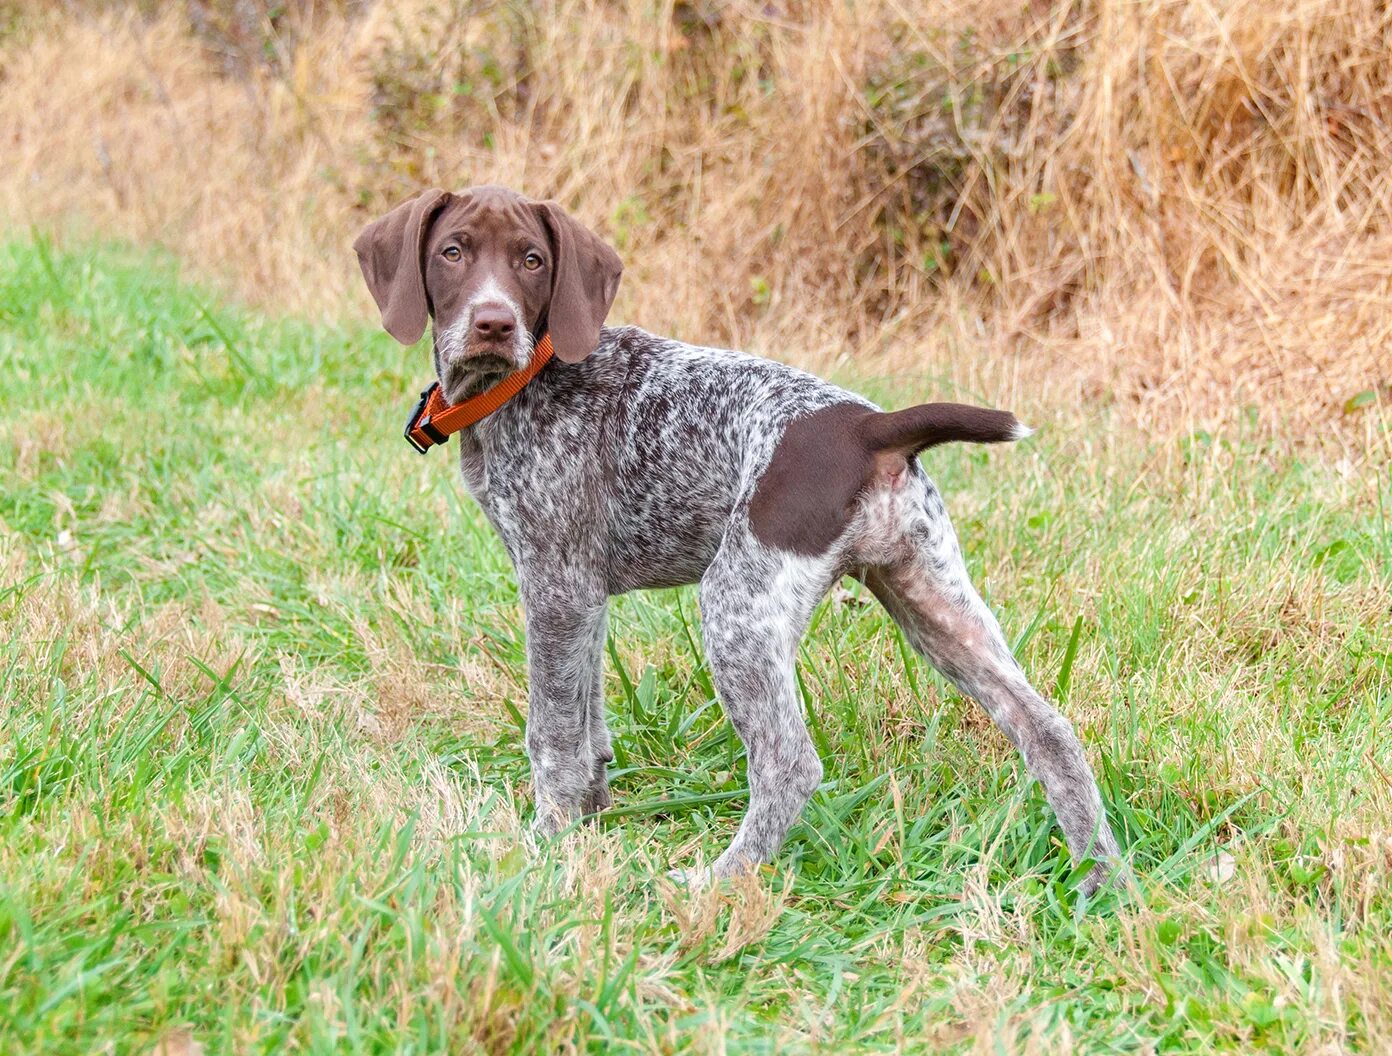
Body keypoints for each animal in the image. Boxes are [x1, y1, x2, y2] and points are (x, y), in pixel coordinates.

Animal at [356, 183, 1119, 890]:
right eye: (452, 252)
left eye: (532, 261)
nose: (493, 322)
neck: (526, 380)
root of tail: (869, 427)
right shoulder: (581, 595)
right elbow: (588, 715)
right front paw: (589, 818)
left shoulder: (555, 584)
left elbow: (552, 732)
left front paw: (544, 844)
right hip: (934, 603)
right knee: (1049, 730)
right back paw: (1101, 877)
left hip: (737, 606)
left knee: (788, 764)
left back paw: (718, 879)